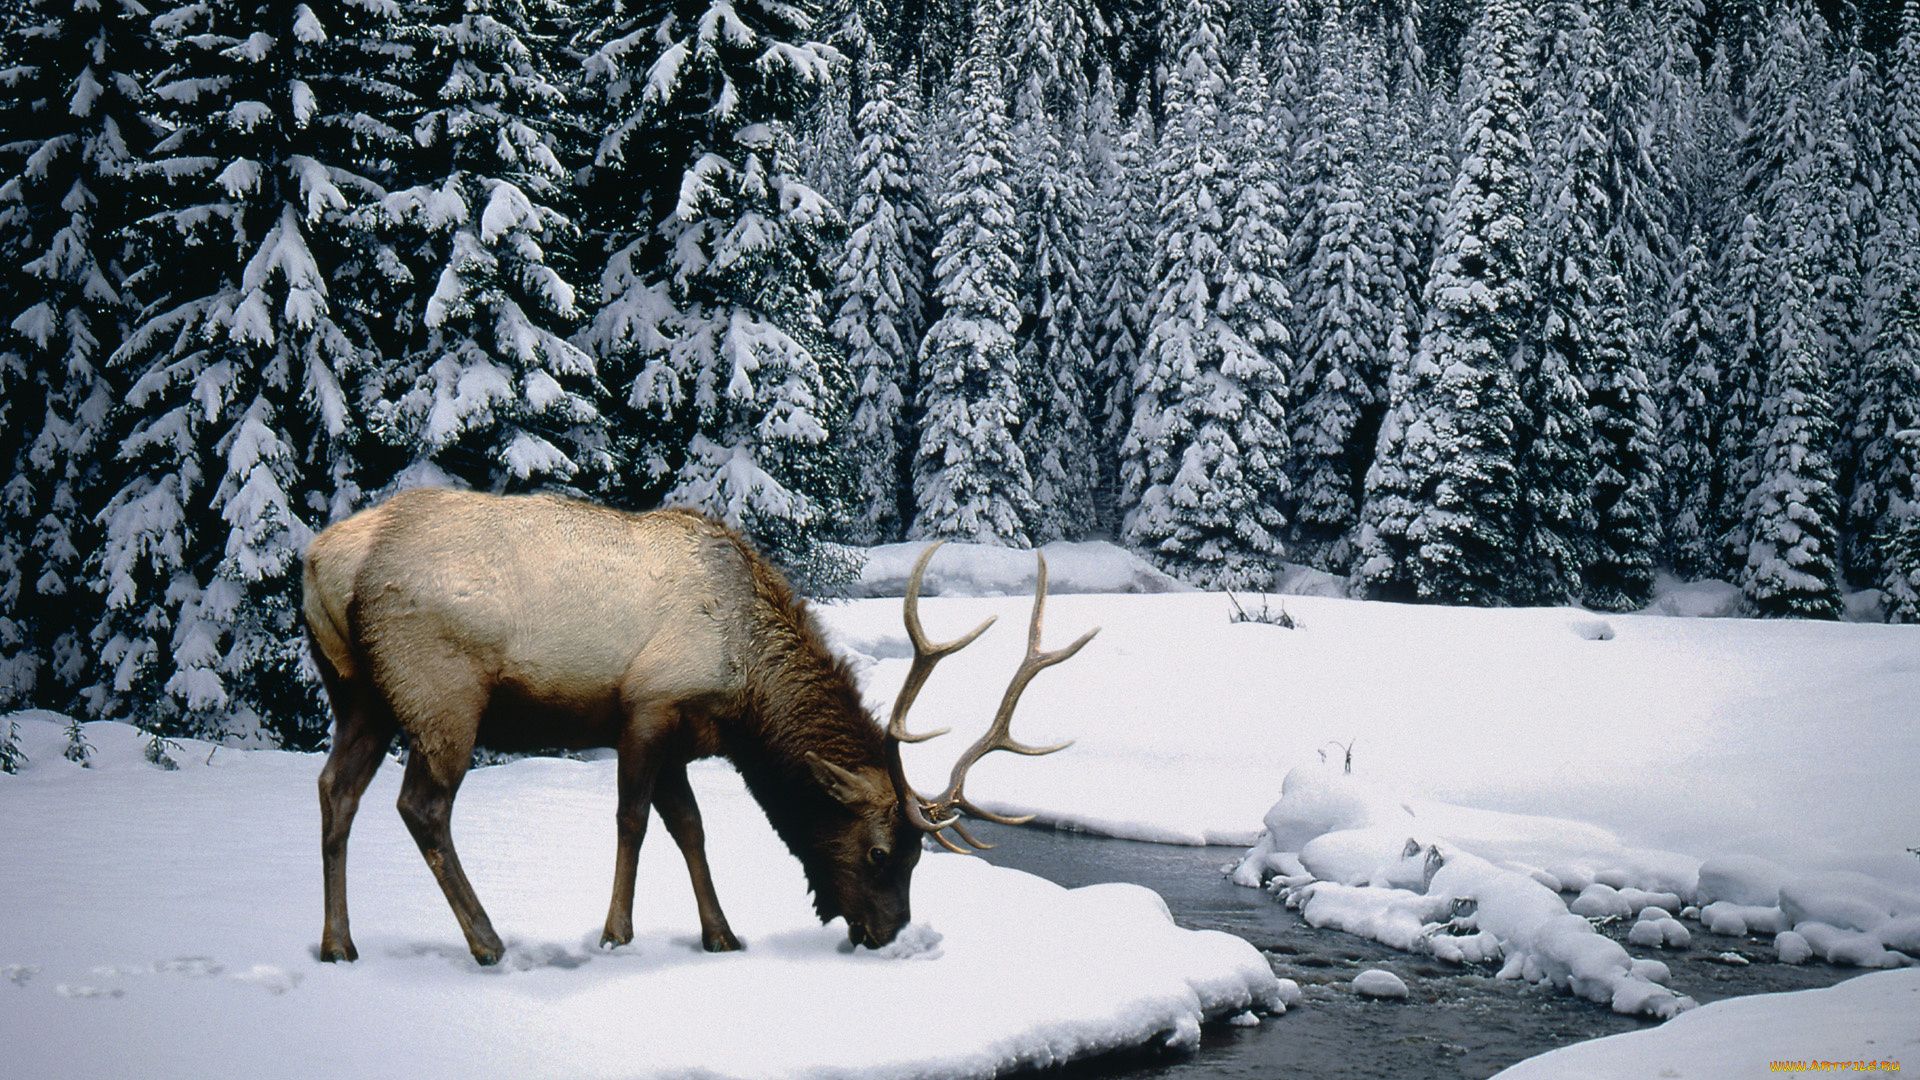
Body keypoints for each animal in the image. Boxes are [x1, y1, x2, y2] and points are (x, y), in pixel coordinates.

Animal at [303, 486, 1098, 957]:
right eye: (881, 853)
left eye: (917, 856)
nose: (888, 933)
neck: (747, 689)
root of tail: (321, 561)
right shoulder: (647, 705)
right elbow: (632, 821)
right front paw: (616, 933)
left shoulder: (684, 740)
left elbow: (691, 828)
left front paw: (722, 934)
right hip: (440, 691)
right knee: (421, 807)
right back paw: (487, 940)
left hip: (360, 696)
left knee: (335, 790)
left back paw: (338, 942)